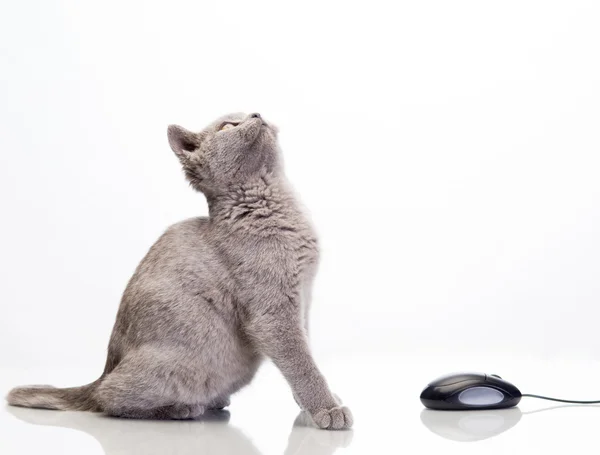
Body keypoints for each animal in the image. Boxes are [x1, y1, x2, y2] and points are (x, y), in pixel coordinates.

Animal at [5, 111, 352, 432]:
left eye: (247, 114)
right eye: (228, 125)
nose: (256, 113)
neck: (277, 204)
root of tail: (103, 371)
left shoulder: (303, 298)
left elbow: (305, 352)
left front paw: (315, 404)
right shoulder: (274, 313)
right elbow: (301, 362)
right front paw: (328, 409)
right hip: (181, 365)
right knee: (109, 398)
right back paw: (180, 408)